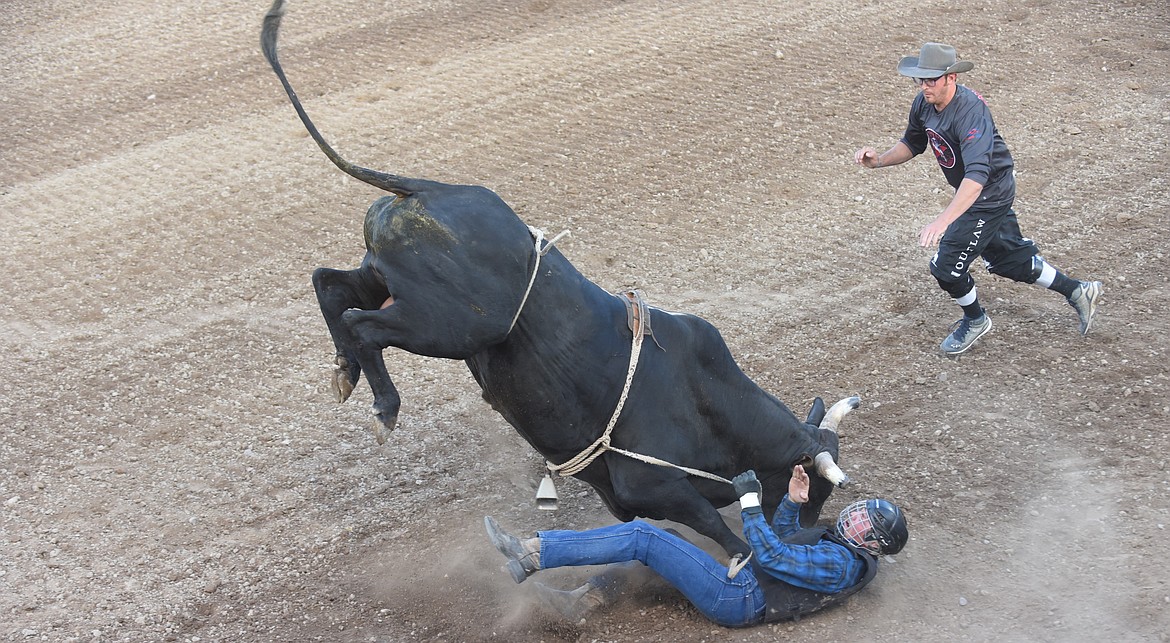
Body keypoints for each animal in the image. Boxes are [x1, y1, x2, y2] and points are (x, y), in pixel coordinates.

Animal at [260, 0, 856, 558]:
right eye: (812, 489)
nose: (809, 530)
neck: (711, 399)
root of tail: (431, 188)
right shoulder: (652, 484)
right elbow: (712, 523)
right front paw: (745, 559)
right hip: (447, 324)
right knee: (362, 323)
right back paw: (384, 407)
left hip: (390, 281)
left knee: (331, 286)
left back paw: (344, 372)